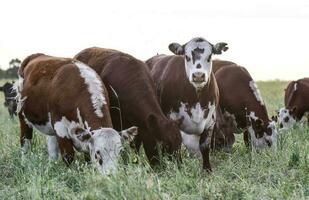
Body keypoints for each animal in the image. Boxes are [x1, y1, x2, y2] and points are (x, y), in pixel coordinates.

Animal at [146, 37, 227, 170]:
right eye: (187, 57)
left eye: (209, 56)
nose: (198, 75)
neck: (197, 98)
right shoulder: (172, 120)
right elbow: (175, 144)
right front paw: (179, 167)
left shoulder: (211, 121)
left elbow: (204, 146)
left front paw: (207, 169)